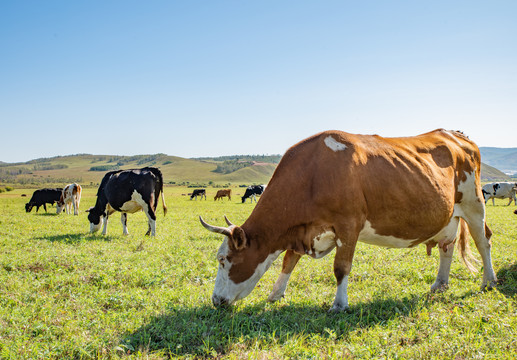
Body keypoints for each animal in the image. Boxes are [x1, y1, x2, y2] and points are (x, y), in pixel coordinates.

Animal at [199, 130, 496, 312]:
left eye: (223, 259)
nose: (215, 300)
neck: (312, 175)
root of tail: (455, 134)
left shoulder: (348, 225)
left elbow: (341, 268)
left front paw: (339, 304)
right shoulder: (304, 230)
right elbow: (289, 261)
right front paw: (275, 294)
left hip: (474, 204)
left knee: (484, 242)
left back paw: (489, 282)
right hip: (450, 214)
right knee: (447, 246)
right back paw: (439, 284)